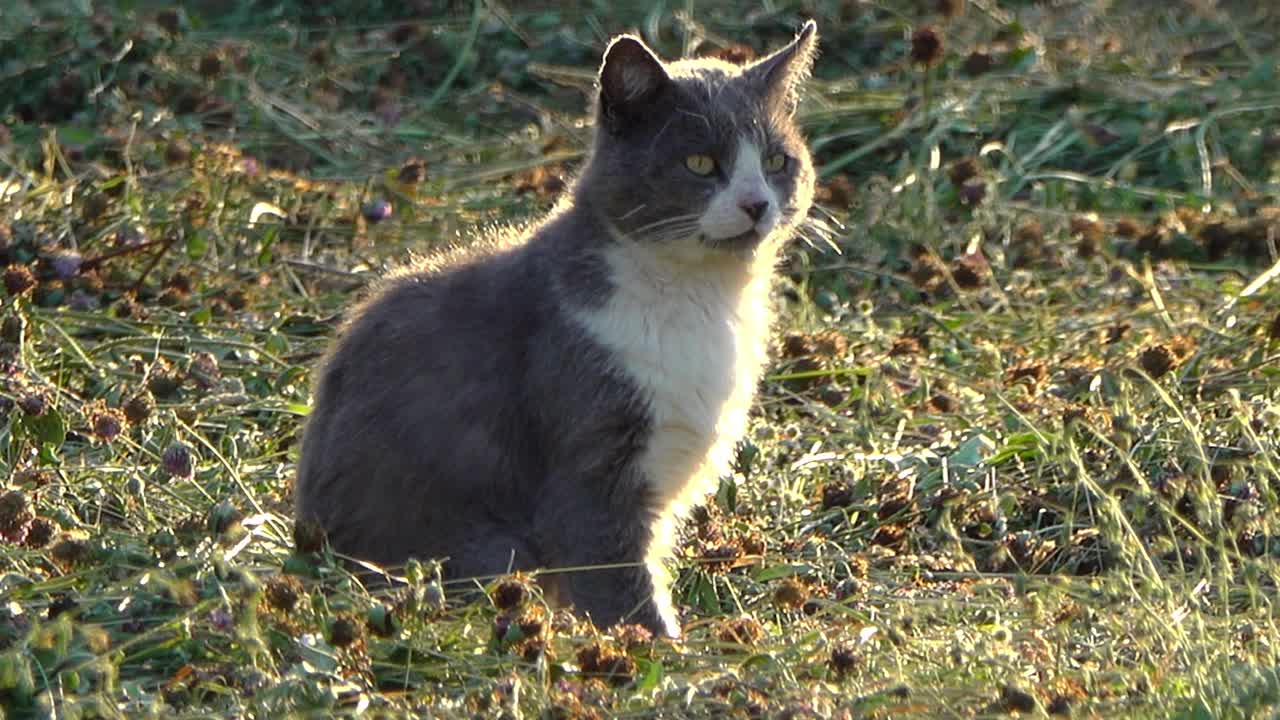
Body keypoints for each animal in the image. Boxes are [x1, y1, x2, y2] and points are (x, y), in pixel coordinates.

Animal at [296, 19, 819, 632]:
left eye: (777, 161)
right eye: (700, 163)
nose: (757, 203)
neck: (700, 300)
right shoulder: (589, 461)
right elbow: (612, 576)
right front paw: (661, 644)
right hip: (479, 544)